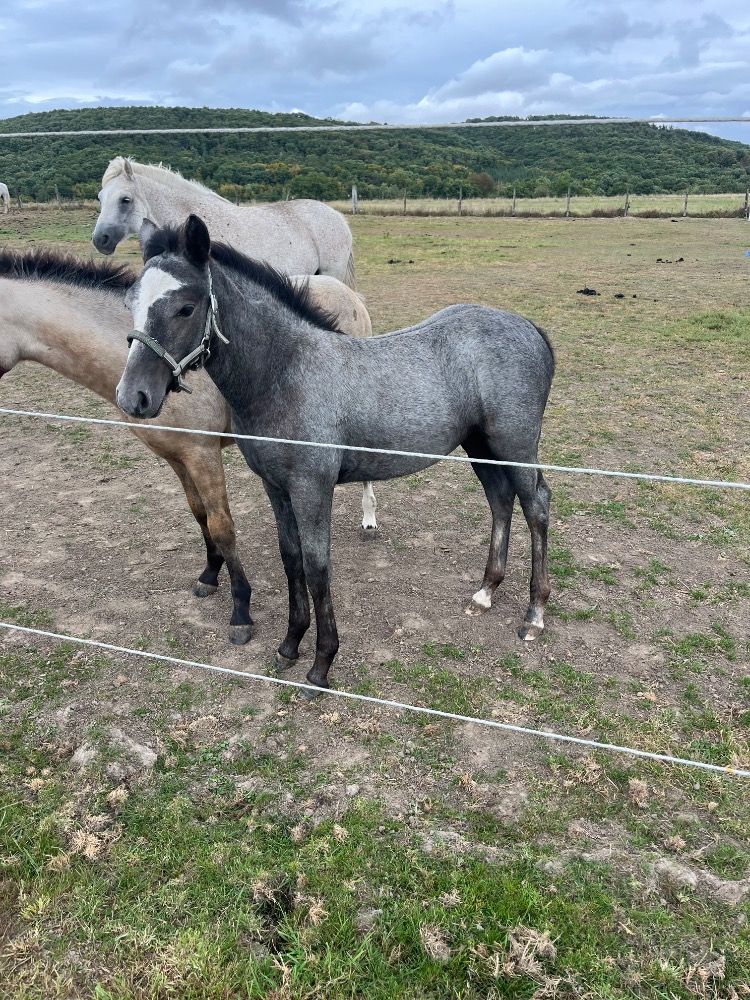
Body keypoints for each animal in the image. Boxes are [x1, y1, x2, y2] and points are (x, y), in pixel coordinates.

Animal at [0, 245, 372, 644]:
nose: (132, 397)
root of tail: (346, 293)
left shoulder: (202, 454)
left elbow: (222, 525)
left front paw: (241, 611)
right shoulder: (177, 457)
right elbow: (199, 515)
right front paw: (209, 575)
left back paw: (369, 519)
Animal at [116, 216, 556, 694]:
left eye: (186, 307)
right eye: (130, 301)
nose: (133, 396)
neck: (286, 373)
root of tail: (530, 328)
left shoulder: (312, 487)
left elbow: (317, 565)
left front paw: (321, 664)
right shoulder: (276, 487)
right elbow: (291, 559)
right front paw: (290, 644)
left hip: (514, 444)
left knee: (536, 505)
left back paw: (534, 615)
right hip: (482, 446)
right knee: (500, 500)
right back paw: (485, 592)